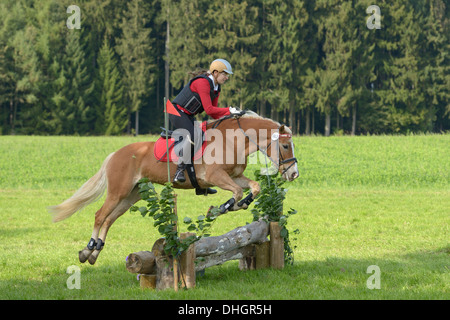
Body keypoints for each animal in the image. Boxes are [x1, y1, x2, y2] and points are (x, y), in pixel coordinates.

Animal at [48, 112, 298, 264]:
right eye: (285, 145)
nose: (294, 174)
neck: (232, 140)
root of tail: (114, 154)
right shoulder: (216, 176)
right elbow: (235, 194)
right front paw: (221, 208)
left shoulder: (234, 176)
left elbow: (254, 187)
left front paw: (241, 204)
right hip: (118, 191)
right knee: (100, 215)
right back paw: (87, 251)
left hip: (131, 196)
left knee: (109, 219)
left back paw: (95, 252)